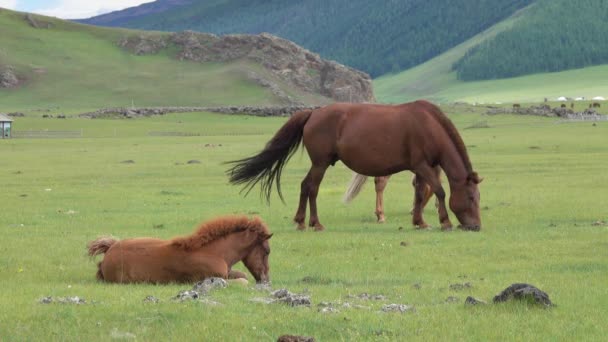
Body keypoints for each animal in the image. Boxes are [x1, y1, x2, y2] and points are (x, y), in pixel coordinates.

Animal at [86, 216, 272, 284]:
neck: (212, 252)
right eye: (267, 251)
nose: (266, 280)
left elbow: (243, 275)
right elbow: (243, 280)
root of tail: (110, 249)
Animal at [226, 100, 482, 231]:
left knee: (304, 186)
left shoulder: (421, 168)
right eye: (471, 198)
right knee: (312, 188)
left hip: (319, 164)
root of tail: (313, 113)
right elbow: (439, 190)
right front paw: (445, 221)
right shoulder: (423, 166)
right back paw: (315, 223)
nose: (476, 226)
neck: (429, 126)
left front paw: (419, 221)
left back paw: (301, 221)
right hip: (321, 163)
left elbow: (420, 194)